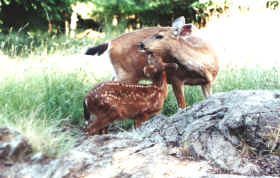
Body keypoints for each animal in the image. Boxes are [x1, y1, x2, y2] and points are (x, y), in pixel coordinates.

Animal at [85, 16, 219, 108]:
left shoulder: (207, 82)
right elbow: (182, 106)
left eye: (159, 36)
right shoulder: (176, 78)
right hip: (127, 74)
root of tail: (111, 43)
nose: (140, 44)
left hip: (119, 72)